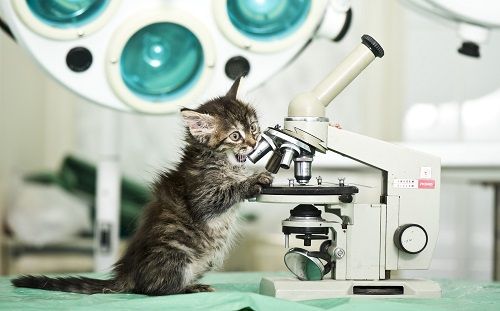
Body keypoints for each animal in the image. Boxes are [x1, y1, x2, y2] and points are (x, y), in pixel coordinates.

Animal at [12, 77, 274, 296]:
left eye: (253, 127)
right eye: (235, 136)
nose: (254, 143)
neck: (219, 159)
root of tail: (128, 272)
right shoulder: (202, 195)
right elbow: (228, 191)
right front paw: (254, 180)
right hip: (178, 254)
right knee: (153, 289)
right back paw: (190, 288)